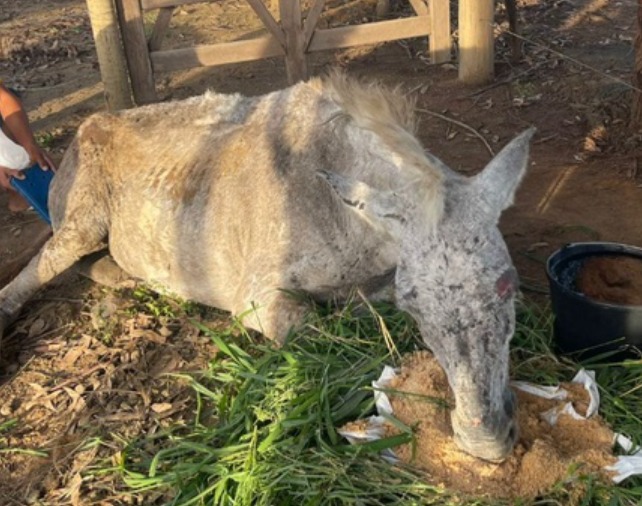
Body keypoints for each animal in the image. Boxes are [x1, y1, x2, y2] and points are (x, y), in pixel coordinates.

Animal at [0, 72, 534, 461]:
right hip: (82, 223)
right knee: (43, 264)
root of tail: (82, 131)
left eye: (508, 287)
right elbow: (320, 331)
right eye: (415, 305)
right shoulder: (258, 301)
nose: (486, 440)